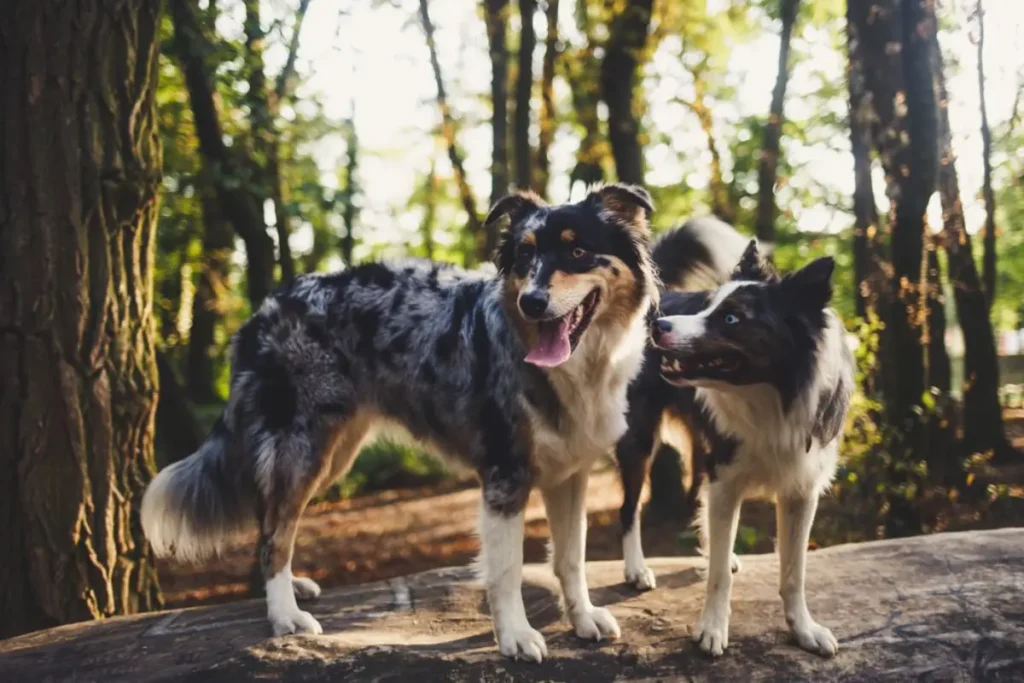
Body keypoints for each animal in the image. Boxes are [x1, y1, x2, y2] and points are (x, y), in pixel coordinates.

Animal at [140, 183, 655, 663]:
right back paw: (285, 613)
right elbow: (507, 570)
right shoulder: (505, 475)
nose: (532, 301)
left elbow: (572, 558)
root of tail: (266, 308)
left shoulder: (570, 474)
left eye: (577, 251)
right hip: (301, 448)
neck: (574, 365)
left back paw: (291, 589)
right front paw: (515, 636)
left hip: (332, 453)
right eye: (526, 255)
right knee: (275, 535)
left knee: (270, 521)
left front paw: (583, 618)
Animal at [618, 242, 851, 659]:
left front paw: (803, 629)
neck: (770, 401)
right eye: (707, 307)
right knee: (628, 509)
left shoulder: (801, 490)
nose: (659, 327)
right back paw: (637, 569)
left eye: (731, 318)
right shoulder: (725, 479)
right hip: (639, 440)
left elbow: (794, 572)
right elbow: (717, 578)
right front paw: (712, 628)